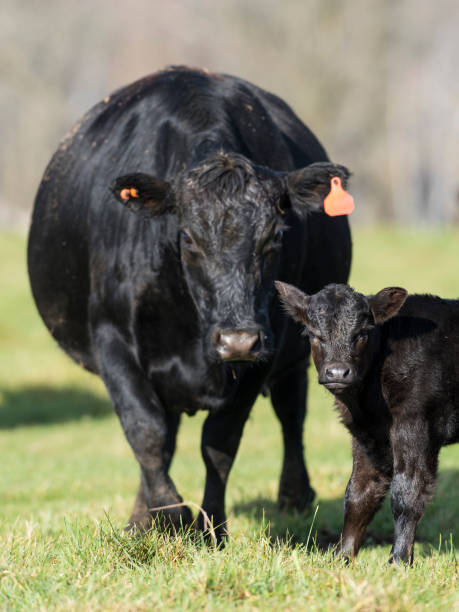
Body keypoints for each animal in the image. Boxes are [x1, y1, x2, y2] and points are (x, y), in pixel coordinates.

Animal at [28, 65, 352, 540]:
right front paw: (167, 516)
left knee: (290, 410)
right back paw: (143, 518)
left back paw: (294, 495)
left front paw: (212, 527)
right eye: (187, 237)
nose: (237, 340)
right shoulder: (111, 339)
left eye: (275, 236)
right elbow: (146, 433)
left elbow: (219, 442)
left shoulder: (266, 344)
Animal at [276, 282, 459, 564]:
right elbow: (359, 494)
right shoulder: (367, 436)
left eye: (362, 333)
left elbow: (407, 491)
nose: (337, 372)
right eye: (313, 334)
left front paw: (398, 560)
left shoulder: (415, 424)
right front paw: (341, 557)